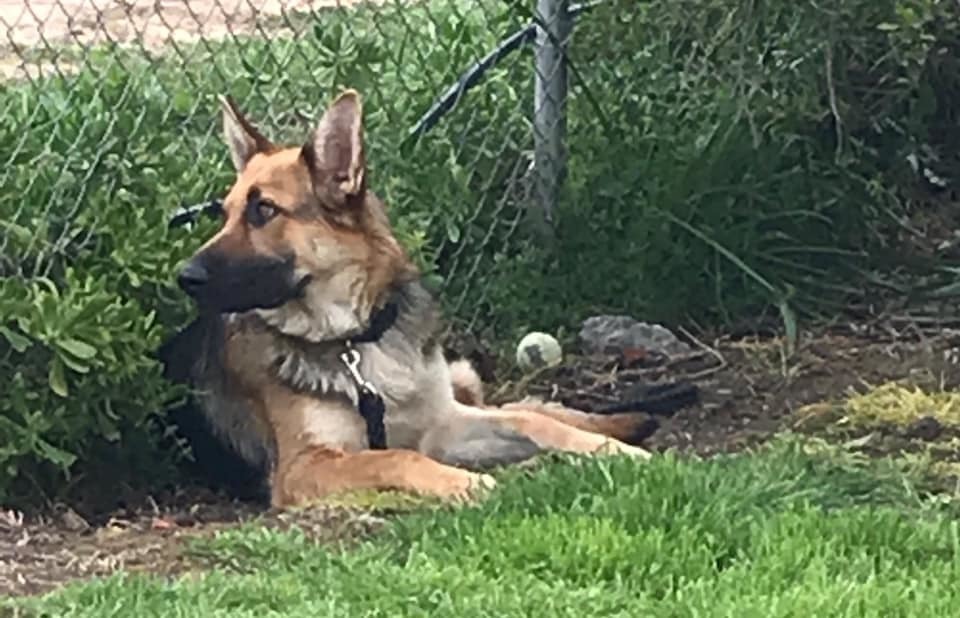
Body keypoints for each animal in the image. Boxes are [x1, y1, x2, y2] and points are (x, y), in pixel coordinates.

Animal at [171, 89, 652, 508]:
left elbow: (529, 420)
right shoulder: (304, 467)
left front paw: (609, 448)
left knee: (514, 406)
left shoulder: (443, 425)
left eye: (264, 210)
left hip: (462, 380)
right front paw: (466, 482)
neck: (356, 340)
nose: (184, 276)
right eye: (225, 213)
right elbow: (395, 455)